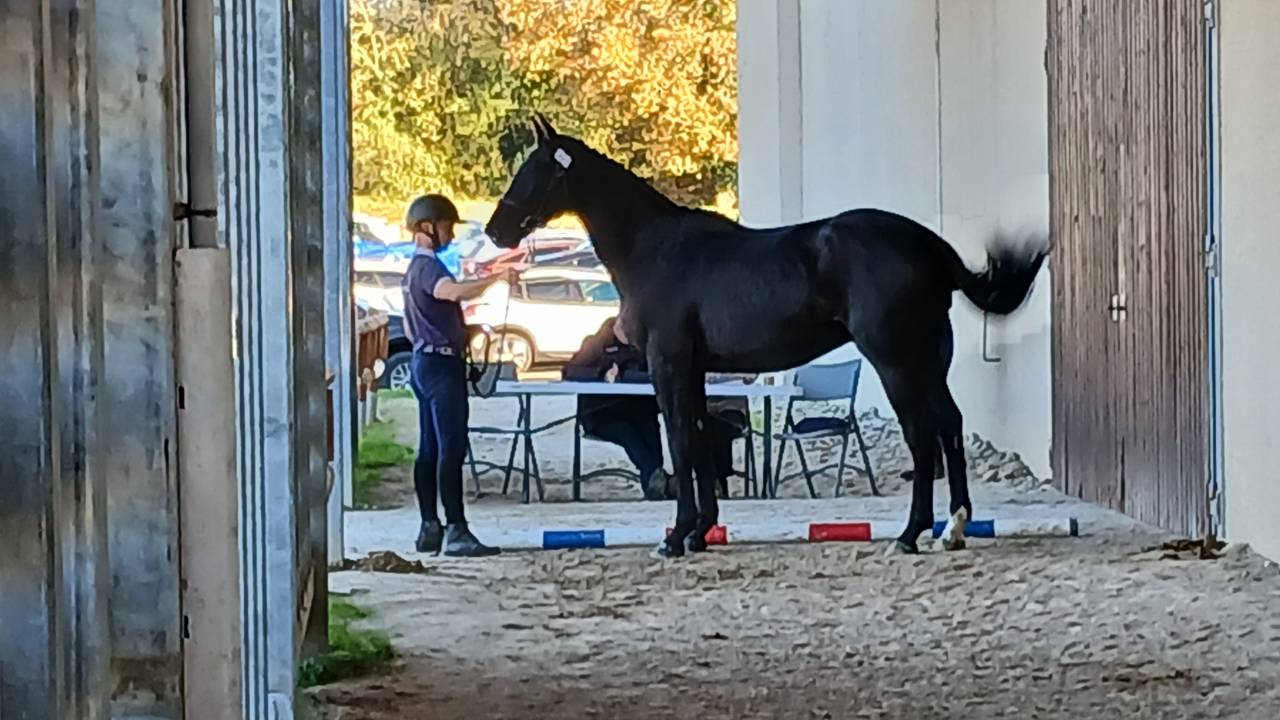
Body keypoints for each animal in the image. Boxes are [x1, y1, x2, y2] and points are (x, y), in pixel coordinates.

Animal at [485, 114, 1047, 558]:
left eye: (533, 172)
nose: (495, 231)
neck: (656, 249)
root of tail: (926, 243)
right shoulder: (693, 368)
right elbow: (697, 438)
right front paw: (700, 532)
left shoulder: (667, 363)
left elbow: (681, 441)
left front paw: (676, 538)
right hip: (929, 360)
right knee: (949, 425)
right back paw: (953, 528)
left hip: (896, 361)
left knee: (921, 435)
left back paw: (911, 534)